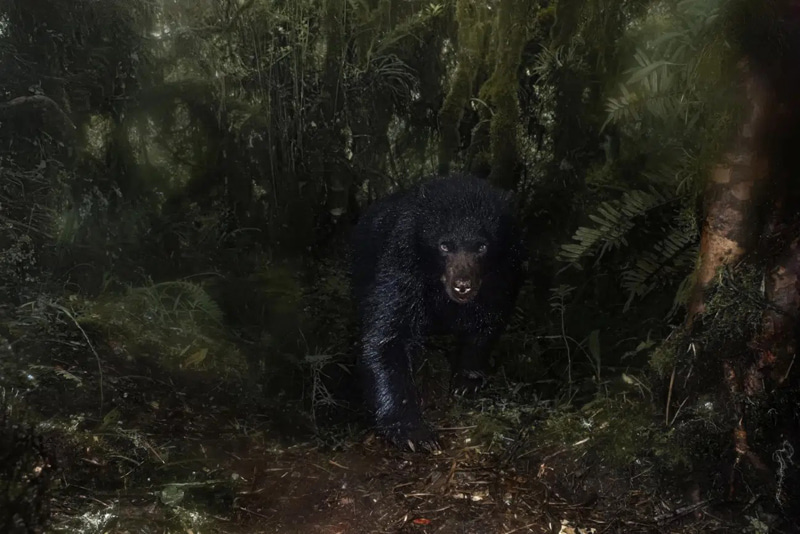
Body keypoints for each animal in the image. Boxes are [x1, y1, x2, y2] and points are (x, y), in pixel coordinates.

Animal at [351, 174, 525, 451]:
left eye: (481, 246)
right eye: (445, 245)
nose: (463, 285)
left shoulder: (504, 271)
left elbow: (488, 320)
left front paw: (467, 381)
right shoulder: (401, 264)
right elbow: (386, 336)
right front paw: (413, 431)